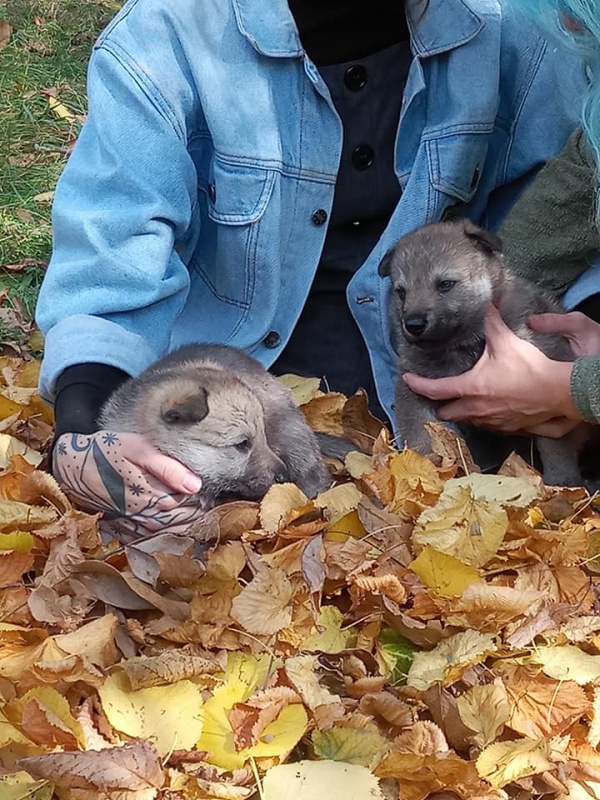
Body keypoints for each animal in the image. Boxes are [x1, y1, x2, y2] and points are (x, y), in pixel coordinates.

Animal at [382, 217, 584, 488]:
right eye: (401, 292)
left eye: (445, 284)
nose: (413, 324)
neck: (460, 346)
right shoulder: (411, 387)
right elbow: (417, 435)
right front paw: (421, 471)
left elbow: (556, 447)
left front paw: (563, 483)